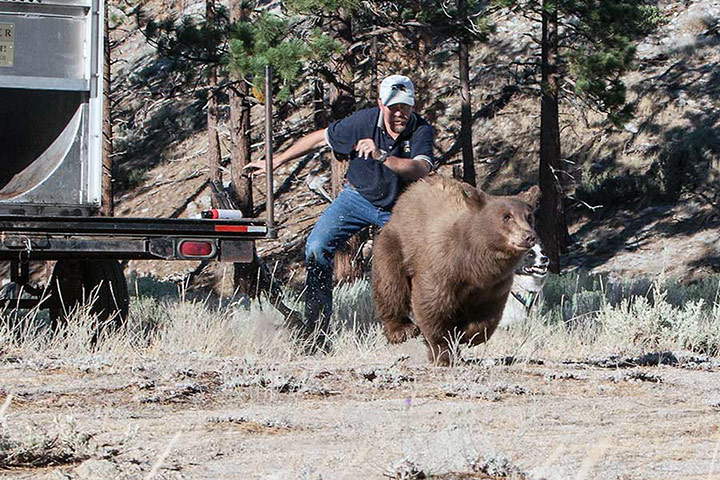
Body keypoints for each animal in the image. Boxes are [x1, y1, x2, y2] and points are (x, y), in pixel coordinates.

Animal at [371, 174, 540, 365]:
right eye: (506, 217)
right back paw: (401, 329)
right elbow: (432, 305)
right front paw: (444, 353)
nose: (529, 236)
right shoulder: (442, 266)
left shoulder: (494, 284)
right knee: (391, 286)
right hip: (395, 246)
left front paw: (464, 334)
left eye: (529, 217)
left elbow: (487, 315)